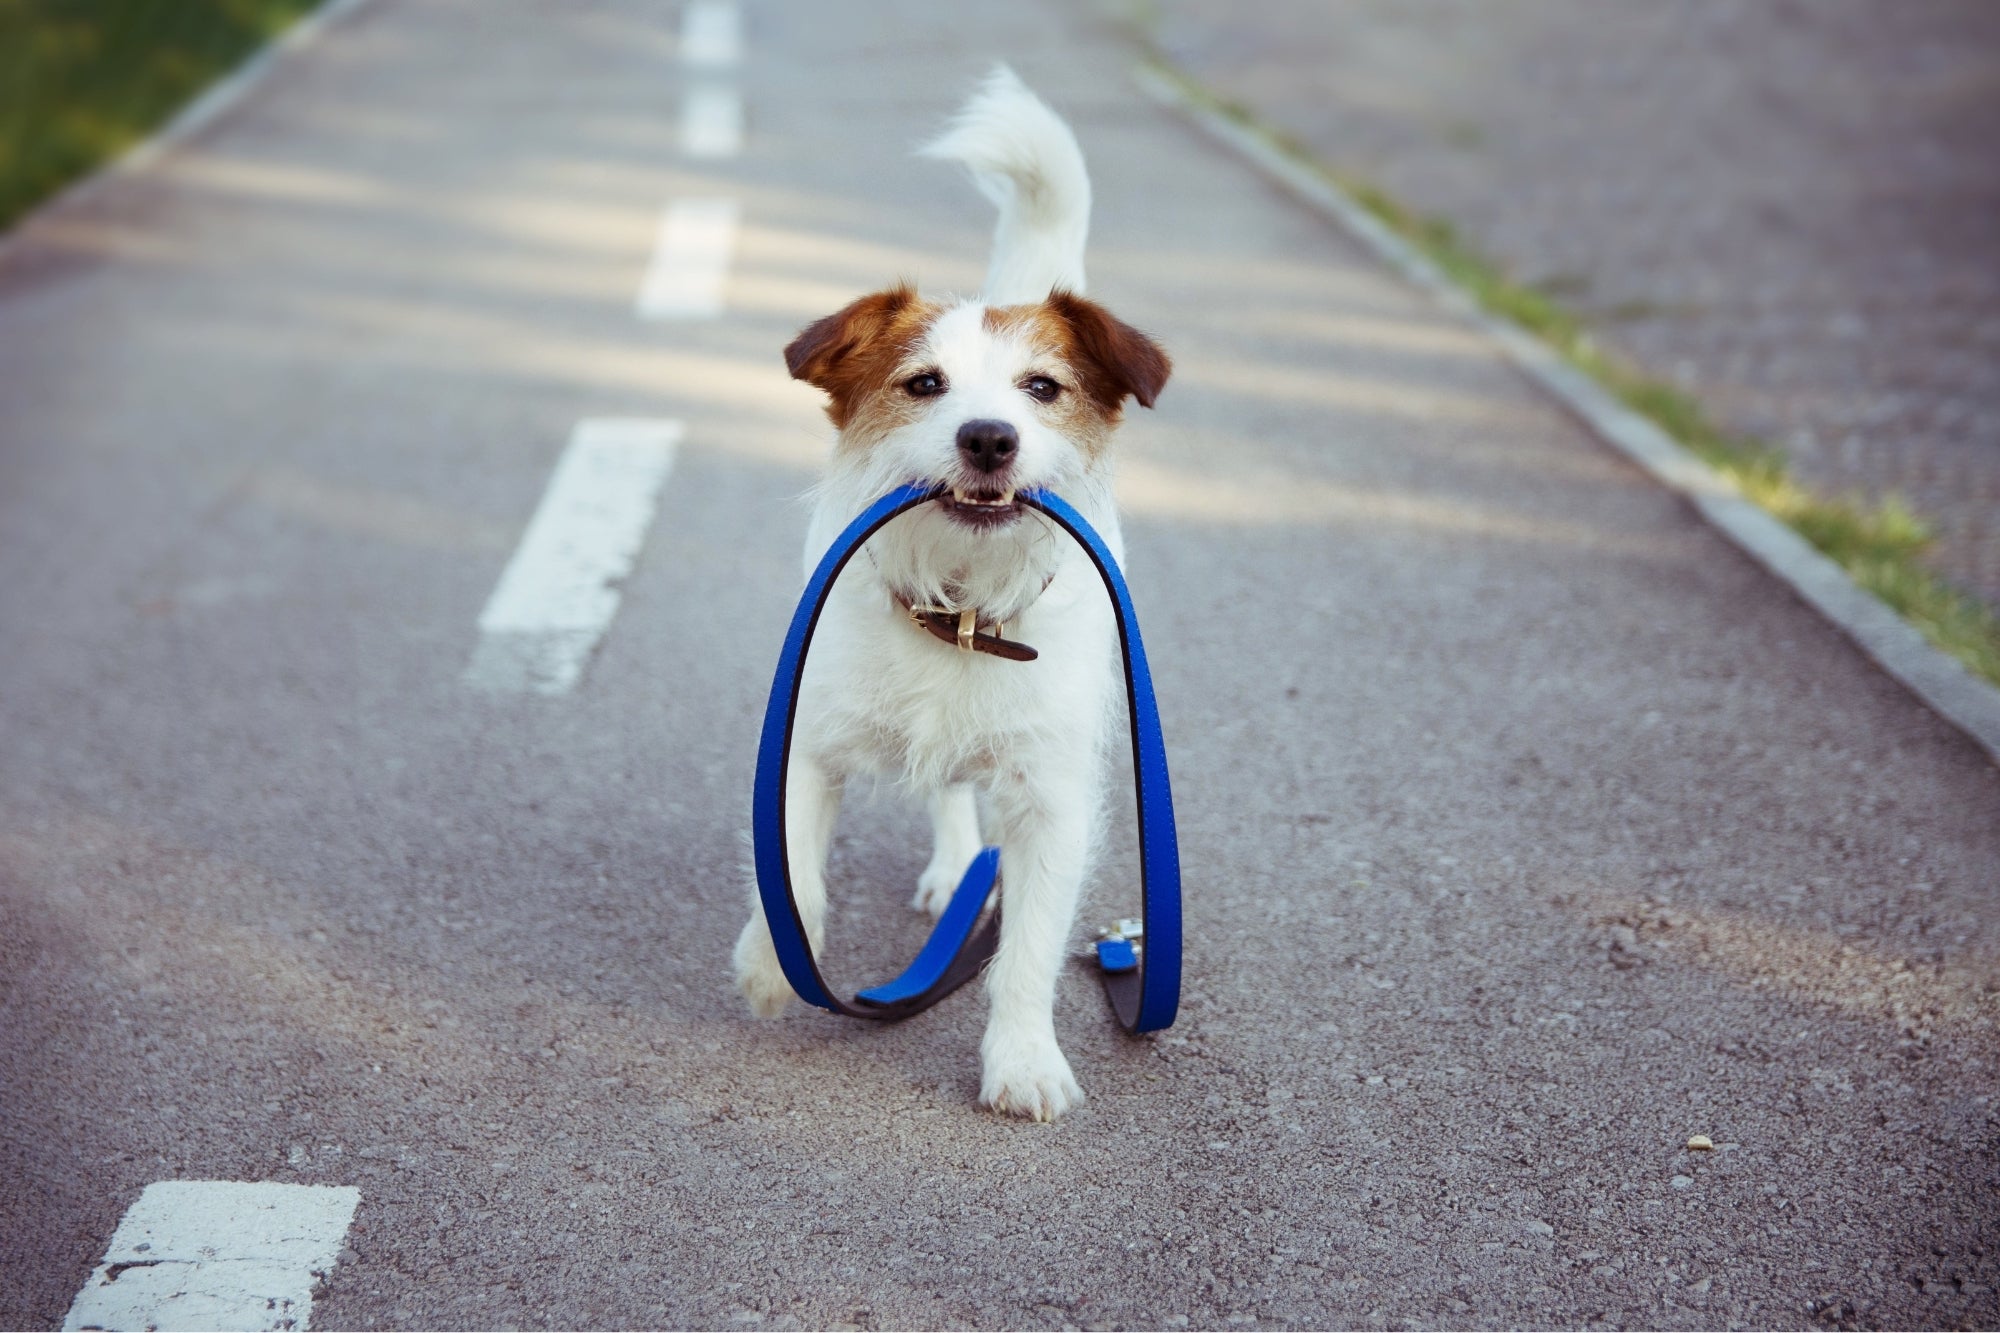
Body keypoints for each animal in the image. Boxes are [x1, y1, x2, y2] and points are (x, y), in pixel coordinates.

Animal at [736, 65, 1168, 1120]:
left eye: (1042, 389)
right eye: (924, 383)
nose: (989, 437)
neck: (962, 609)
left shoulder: (1052, 800)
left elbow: (1029, 951)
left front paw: (1022, 1059)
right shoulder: (803, 745)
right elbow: (791, 869)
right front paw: (771, 962)